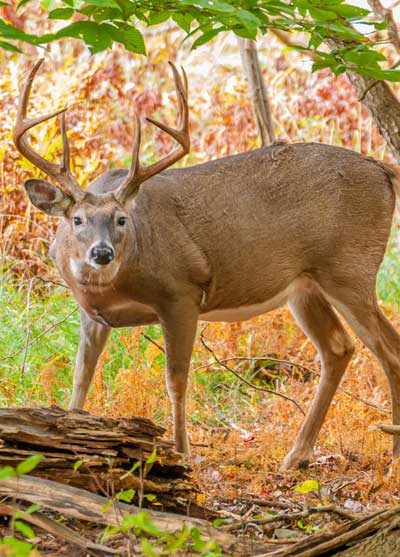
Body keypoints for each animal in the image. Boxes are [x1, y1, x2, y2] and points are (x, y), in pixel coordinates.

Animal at [13, 59, 400, 470]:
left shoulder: (181, 293)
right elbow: (81, 376)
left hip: (349, 267)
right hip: (305, 286)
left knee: (387, 348)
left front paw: (182, 454)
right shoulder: (92, 314)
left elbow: (176, 380)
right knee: (338, 348)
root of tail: (383, 169)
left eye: (121, 220)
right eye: (77, 220)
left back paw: (391, 452)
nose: (101, 254)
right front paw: (70, 437)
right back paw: (297, 456)